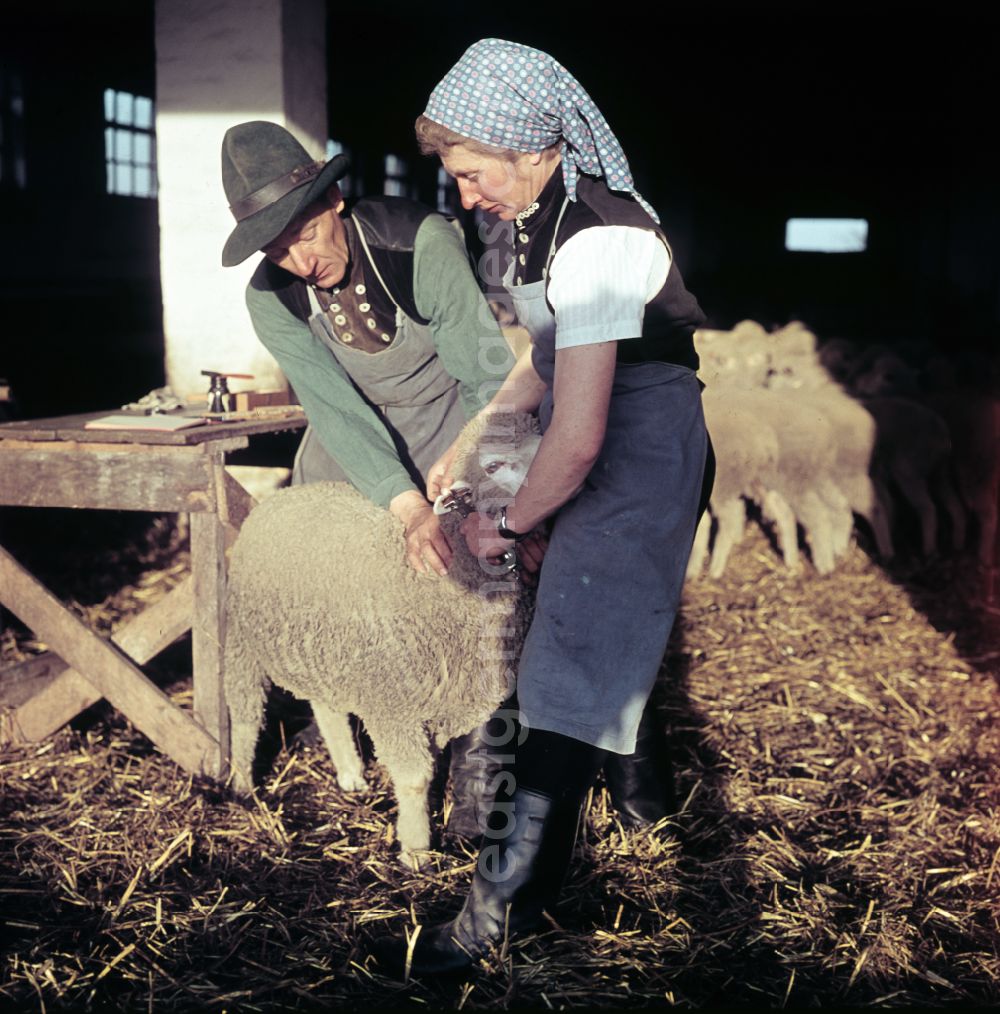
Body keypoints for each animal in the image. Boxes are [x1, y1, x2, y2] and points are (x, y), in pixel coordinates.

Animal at [223, 409, 543, 863]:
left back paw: (350, 772)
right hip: (244, 641)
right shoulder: (394, 705)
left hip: (326, 649)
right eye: (495, 465)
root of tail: (290, 493)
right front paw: (415, 850)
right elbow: (414, 778)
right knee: (246, 712)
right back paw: (241, 784)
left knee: (327, 709)